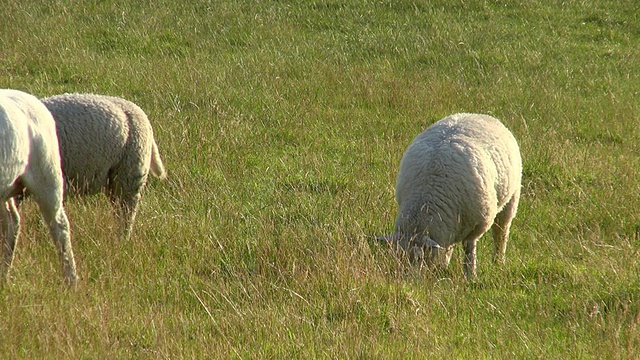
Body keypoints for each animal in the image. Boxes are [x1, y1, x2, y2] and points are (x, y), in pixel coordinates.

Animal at [380, 112, 520, 278]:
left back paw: (498, 261)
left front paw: (470, 274)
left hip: (511, 199)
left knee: (501, 233)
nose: (407, 279)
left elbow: (469, 249)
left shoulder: (477, 224)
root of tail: (475, 114)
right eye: (397, 256)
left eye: (420, 258)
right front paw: (444, 266)